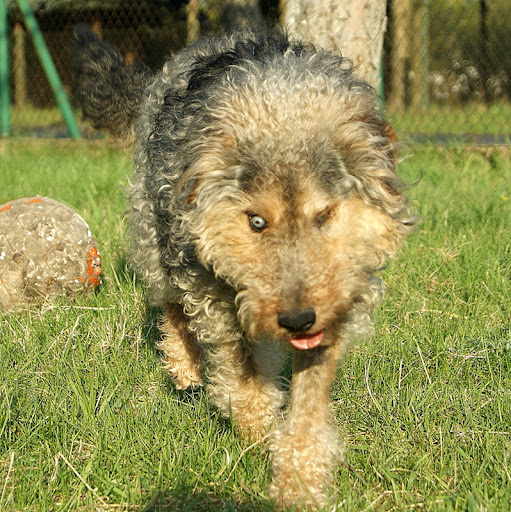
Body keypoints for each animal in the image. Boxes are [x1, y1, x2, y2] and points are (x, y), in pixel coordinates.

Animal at [72, 26, 415, 509]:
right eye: (256, 221)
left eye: (325, 215)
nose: (297, 319)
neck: (282, 109)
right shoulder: (214, 293)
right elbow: (244, 380)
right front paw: (255, 438)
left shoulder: (336, 305)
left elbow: (308, 403)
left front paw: (299, 482)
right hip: (156, 232)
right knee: (170, 301)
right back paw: (185, 365)